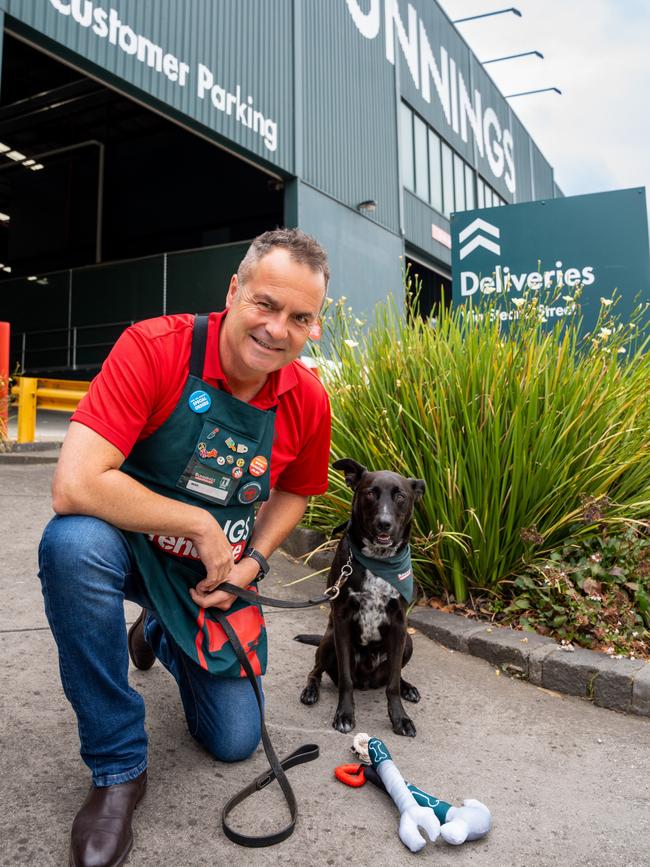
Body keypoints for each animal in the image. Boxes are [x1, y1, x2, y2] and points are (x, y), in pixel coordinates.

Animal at [294, 458, 426, 736]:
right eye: (370, 493)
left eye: (400, 496)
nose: (384, 523)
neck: (378, 560)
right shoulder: (342, 621)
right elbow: (345, 679)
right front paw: (344, 714)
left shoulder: (399, 624)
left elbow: (392, 685)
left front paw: (400, 718)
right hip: (329, 640)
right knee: (315, 671)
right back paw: (311, 691)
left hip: (408, 642)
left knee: (394, 675)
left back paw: (408, 687)